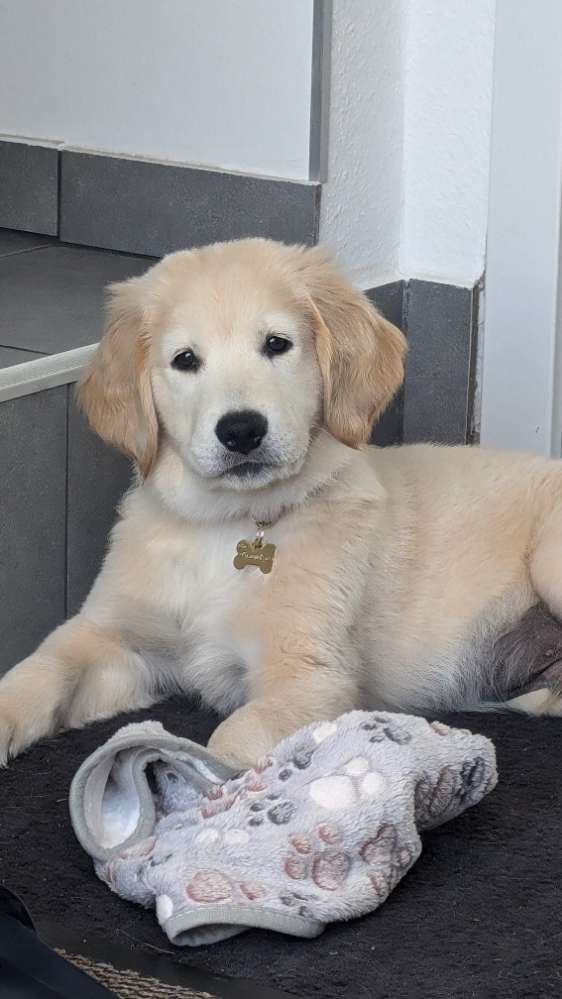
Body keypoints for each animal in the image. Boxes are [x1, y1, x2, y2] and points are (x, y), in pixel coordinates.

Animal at [1, 240, 560, 764]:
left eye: (277, 344)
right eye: (185, 360)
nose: (241, 430)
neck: (227, 524)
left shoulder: (310, 677)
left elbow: (233, 741)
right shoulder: (113, 637)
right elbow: (45, 665)